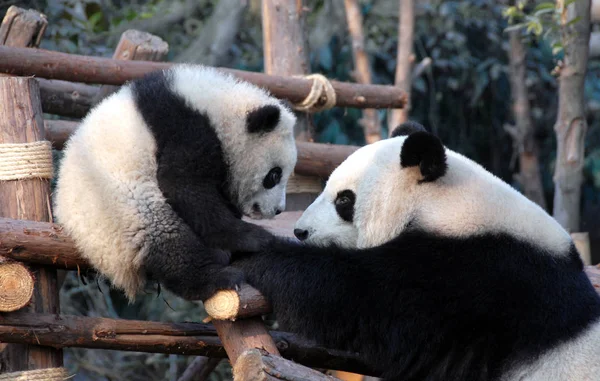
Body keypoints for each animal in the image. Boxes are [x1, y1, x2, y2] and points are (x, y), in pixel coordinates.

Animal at [56, 66, 298, 302]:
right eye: (274, 176)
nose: (278, 210)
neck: (222, 107)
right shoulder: (185, 129)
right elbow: (183, 186)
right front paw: (254, 238)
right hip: (119, 206)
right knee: (167, 239)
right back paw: (218, 276)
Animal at [232, 122, 600, 380]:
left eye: (344, 200)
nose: (301, 231)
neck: (448, 202)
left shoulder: (471, 278)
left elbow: (355, 296)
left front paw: (252, 254)